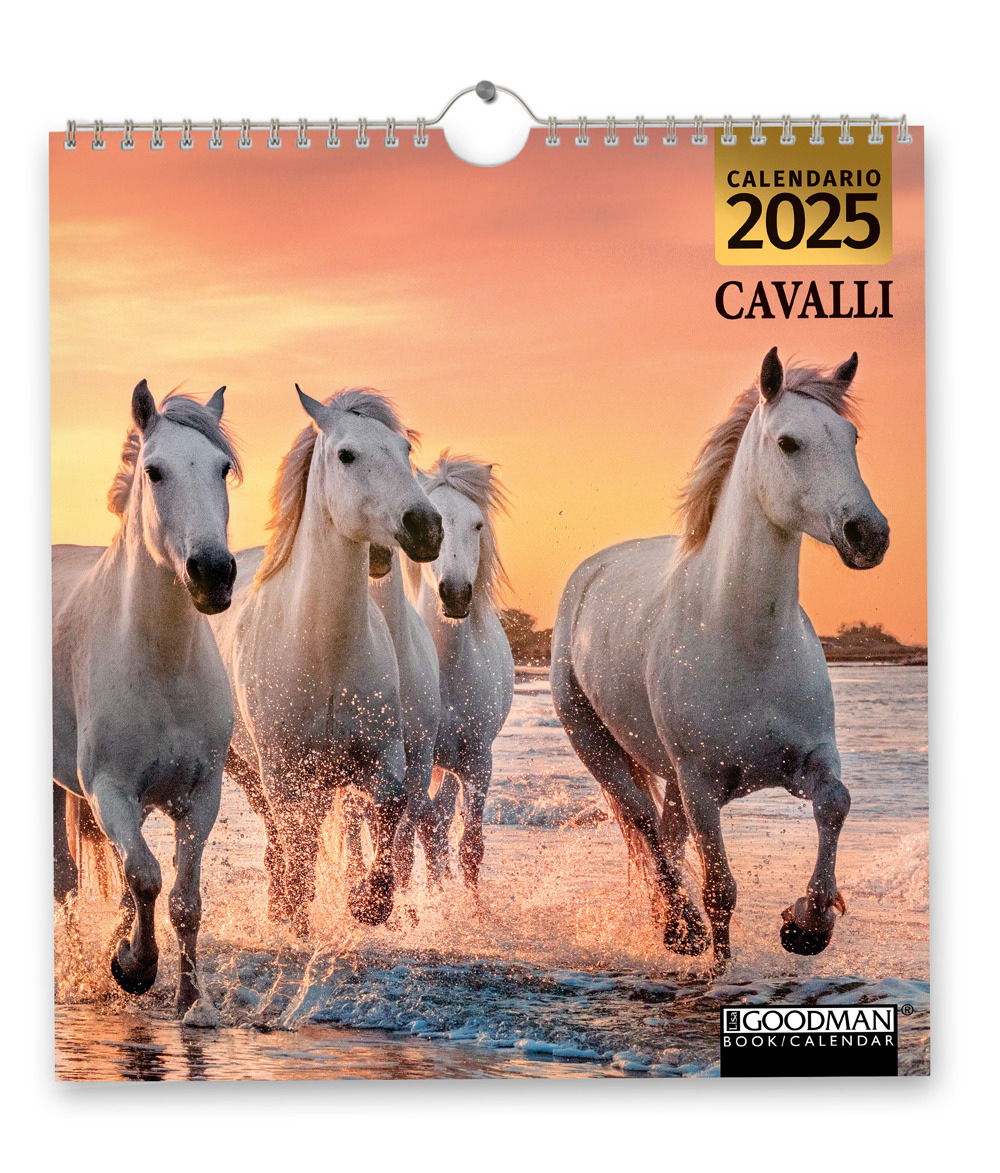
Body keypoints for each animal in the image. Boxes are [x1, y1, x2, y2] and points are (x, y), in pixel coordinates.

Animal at [52, 381, 241, 1019]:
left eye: (223, 468)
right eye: (155, 471)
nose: (213, 573)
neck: (161, 666)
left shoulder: (199, 796)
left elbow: (183, 899)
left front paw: (191, 1002)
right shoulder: (109, 790)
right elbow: (145, 876)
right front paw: (134, 967)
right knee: (66, 880)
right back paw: (77, 969)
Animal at [209, 387, 443, 936]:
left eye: (405, 450)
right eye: (346, 455)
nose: (426, 527)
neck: (325, 653)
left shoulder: (385, 759)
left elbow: (389, 813)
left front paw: (367, 903)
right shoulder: (284, 771)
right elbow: (298, 847)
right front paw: (296, 917)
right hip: (249, 770)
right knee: (281, 838)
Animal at [551, 350, 890, 968]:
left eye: (851, 436)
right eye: (788, 443)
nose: (868, 534)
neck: (746, 641)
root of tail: (590, 573)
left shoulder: (808, 760)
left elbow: (836, 803)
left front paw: (807, 924)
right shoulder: (703, 784)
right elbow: (720, 891)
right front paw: (720, 964)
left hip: (671, 778)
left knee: (665, 834)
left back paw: (670, 924)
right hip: (599, 746)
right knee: (644, 824)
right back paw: (680, 928)